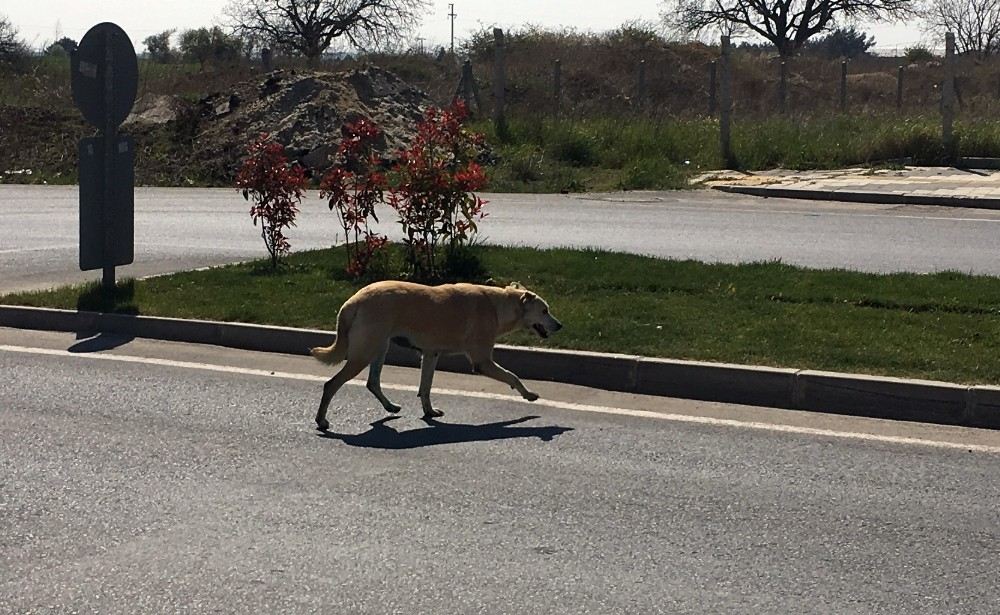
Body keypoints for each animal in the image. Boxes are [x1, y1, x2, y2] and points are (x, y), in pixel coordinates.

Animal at [308, 282, 564, 430]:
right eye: (545, 311)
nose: (560, 326)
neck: (498, 305)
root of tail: (351, 303)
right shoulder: (482, 362)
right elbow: (513, 376)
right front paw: (528, 395)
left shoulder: (431, 354)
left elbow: (426, 387)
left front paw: (429, 412)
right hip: (364, 352)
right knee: (331, 384)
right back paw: (322, 420)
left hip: (379, 347)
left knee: (372, 382)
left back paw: (390, 406)